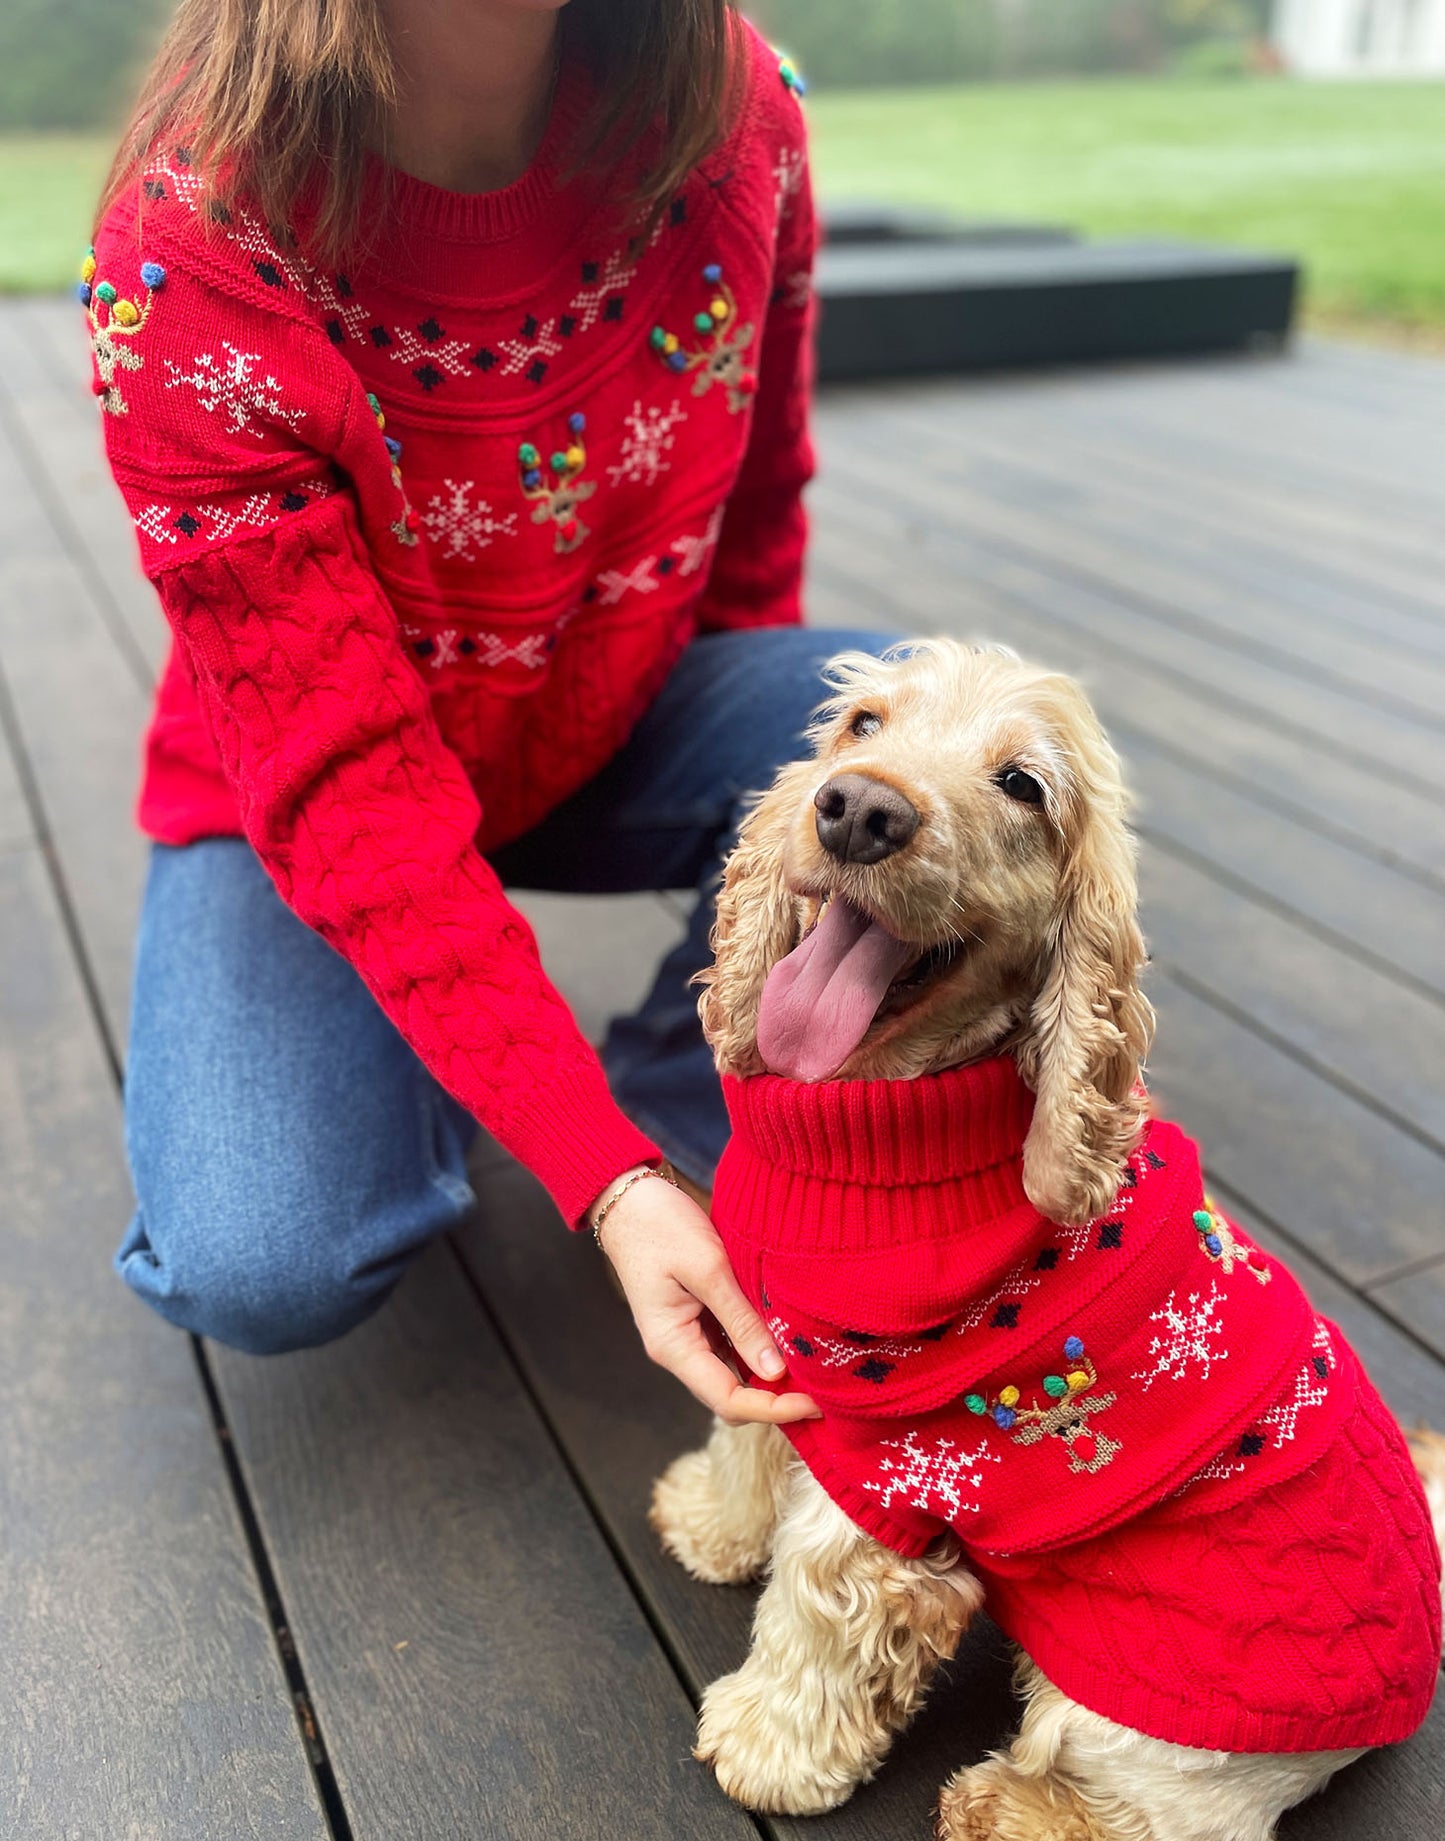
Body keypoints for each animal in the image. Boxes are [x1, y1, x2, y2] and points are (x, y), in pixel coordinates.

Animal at [655, 644, 1443, 1841]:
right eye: (859, 723)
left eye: (1023, 785)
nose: (857, 810)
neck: (877, 1120)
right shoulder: (773, 1350)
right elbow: (745, 1437)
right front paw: (706, 1522)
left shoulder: (894, 1478)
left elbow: (819, 1604)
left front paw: (765, 1751)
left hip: (1135, 1725)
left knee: (1161, 1819)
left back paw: (998, 1803)